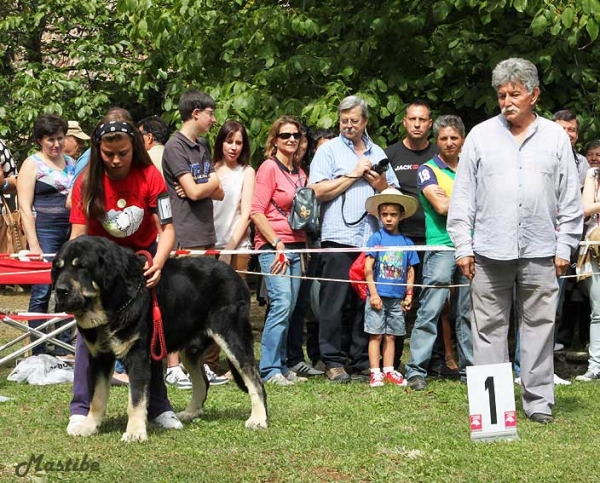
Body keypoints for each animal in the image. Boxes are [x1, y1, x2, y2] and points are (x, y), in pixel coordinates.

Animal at [52, 236, 268, 444]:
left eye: (81, 267)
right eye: (59, 267)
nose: (60, 290)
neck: (113, 304)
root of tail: (235, 274)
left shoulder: (137, 356)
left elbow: (136, 400)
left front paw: (135, 433)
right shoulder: (100, 358)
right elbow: (96, 398)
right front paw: (88, 428)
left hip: (232, 337)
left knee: (254, 379)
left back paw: (258, 419)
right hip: (190, 351)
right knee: (202, 382)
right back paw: (190, 412)